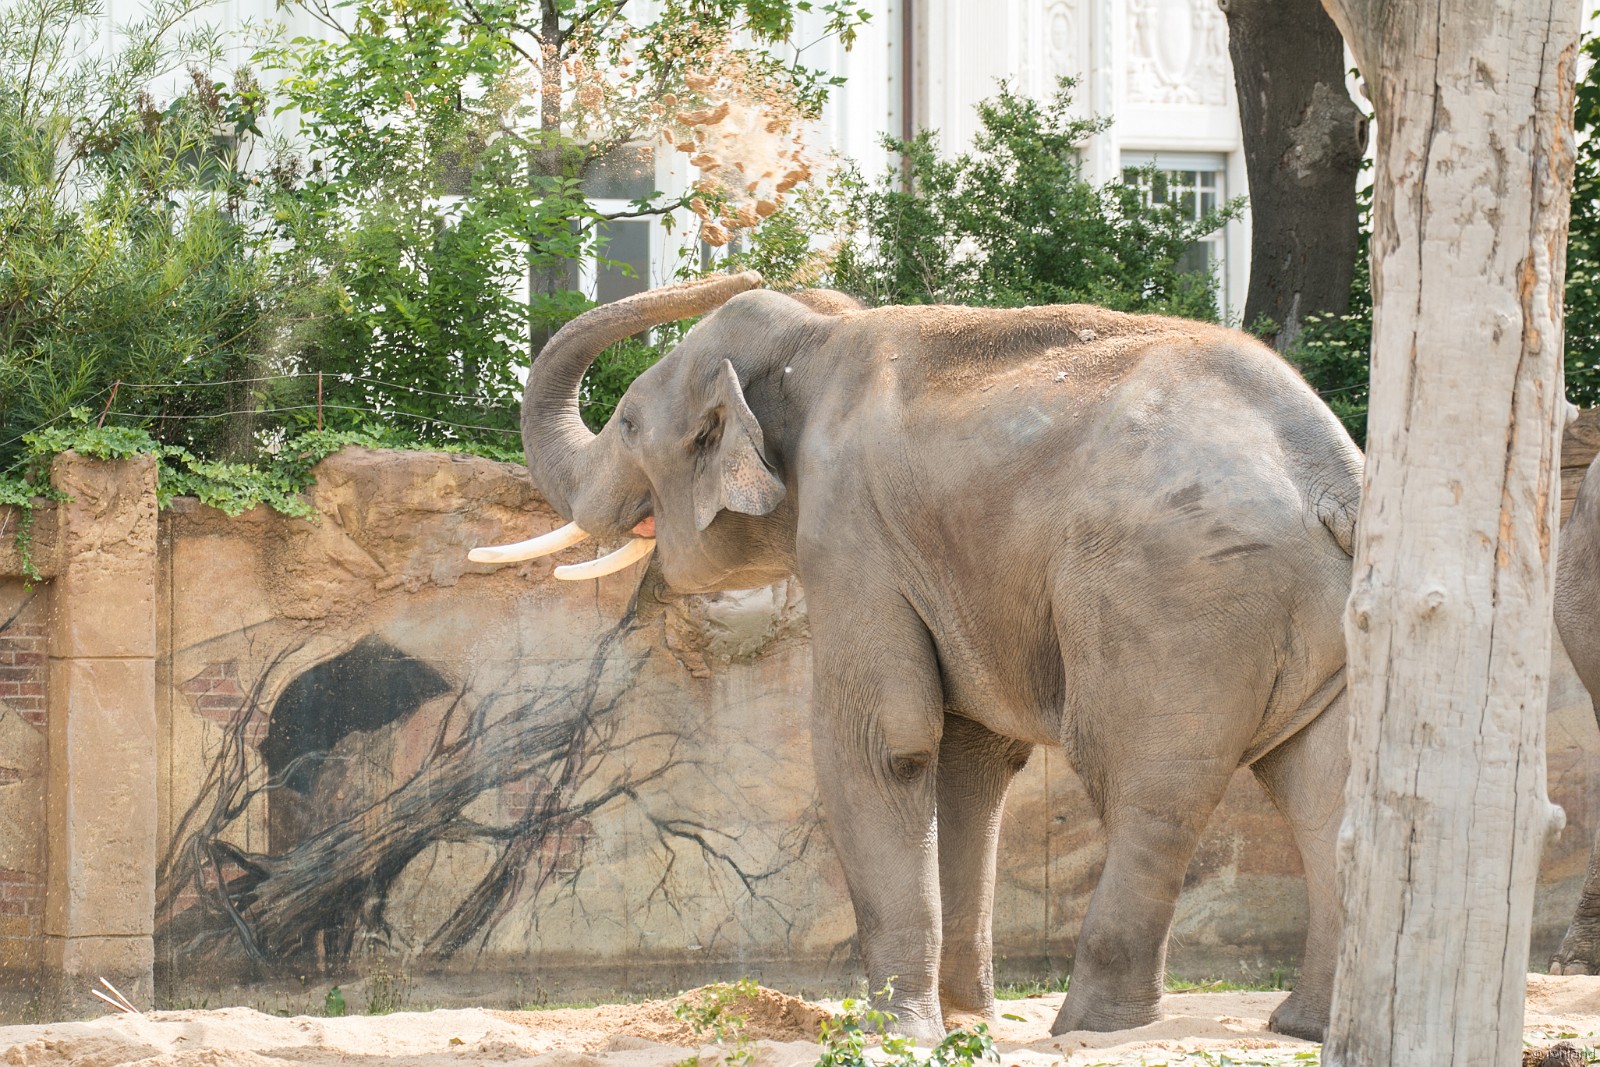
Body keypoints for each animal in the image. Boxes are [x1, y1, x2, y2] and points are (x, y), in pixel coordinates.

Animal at [470, 272, 1363, 1041]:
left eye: (625, 424)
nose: (740, 268)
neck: (815, 337)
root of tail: (1332, 472)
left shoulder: (850, 534)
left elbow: (884, 744)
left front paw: (890, 1029)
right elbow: (972, 759)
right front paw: (968, 1019)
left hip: (1175, 596)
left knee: (1144, 785)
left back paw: (1097, 1028)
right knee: (1323, 789)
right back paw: (1302, 1026)